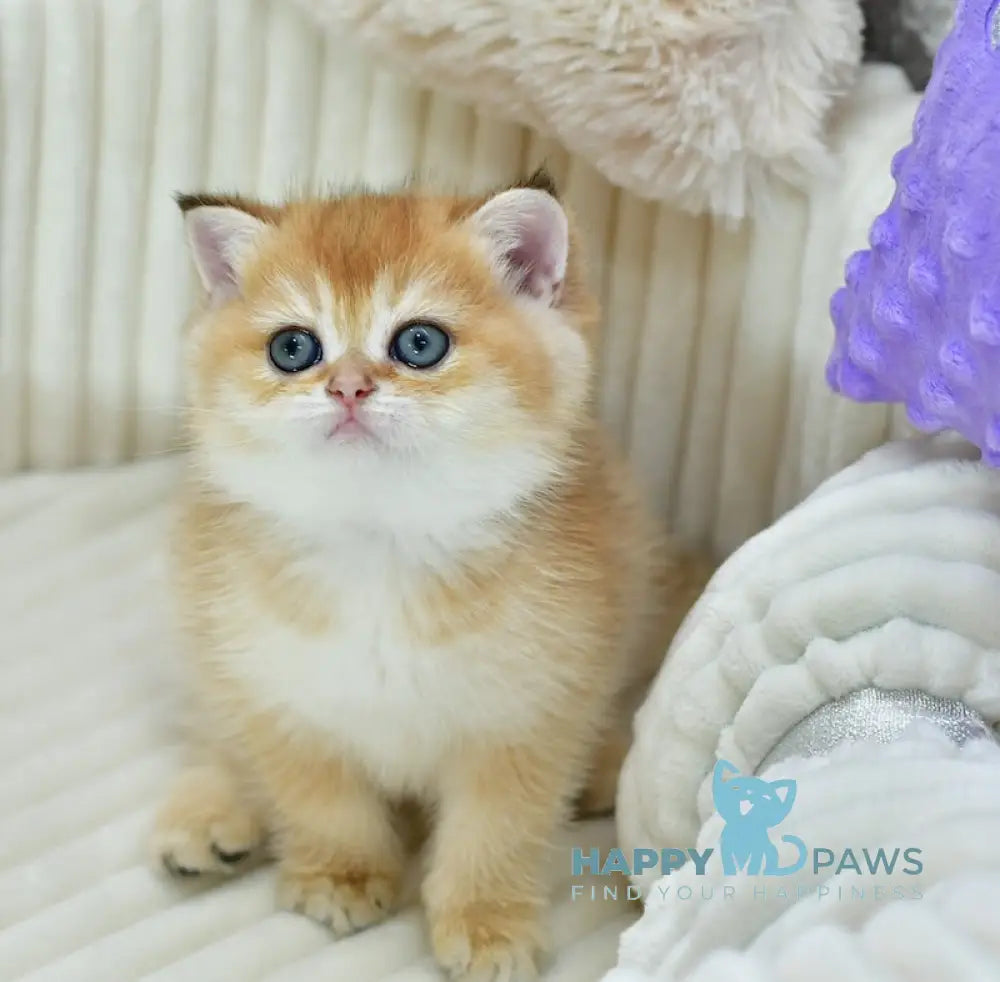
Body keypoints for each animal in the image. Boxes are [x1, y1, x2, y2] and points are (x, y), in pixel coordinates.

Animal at [152, 173, 708, 980]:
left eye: (419, 343)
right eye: (294, 348)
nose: (348, 387)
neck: (381, 544)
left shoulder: (528, 712)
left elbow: (496, 830)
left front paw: (486, 923)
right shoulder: (274, 691)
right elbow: (318, 797)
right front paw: (343, 874)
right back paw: (208, 815)